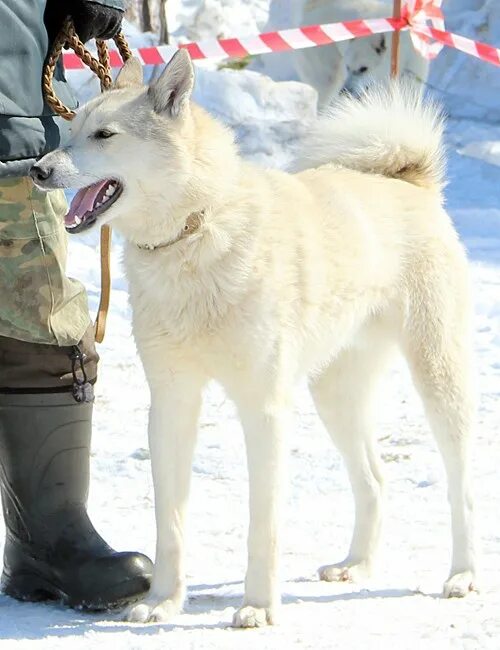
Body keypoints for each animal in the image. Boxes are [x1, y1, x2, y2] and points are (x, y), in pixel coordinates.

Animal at [32, 53, 476, 624]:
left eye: (104, 135)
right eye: (70, 132)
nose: (39, 169)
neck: (195, 230)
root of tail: (410, 183)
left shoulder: (263, 408)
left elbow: (262, 525)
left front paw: (259, 607)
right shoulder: (172, 403)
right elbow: (170, 523)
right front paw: (162, 602)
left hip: (437, 378)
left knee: (461, 487)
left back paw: (463, 574)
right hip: (334, 396)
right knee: (375, 480)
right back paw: (356, 565)